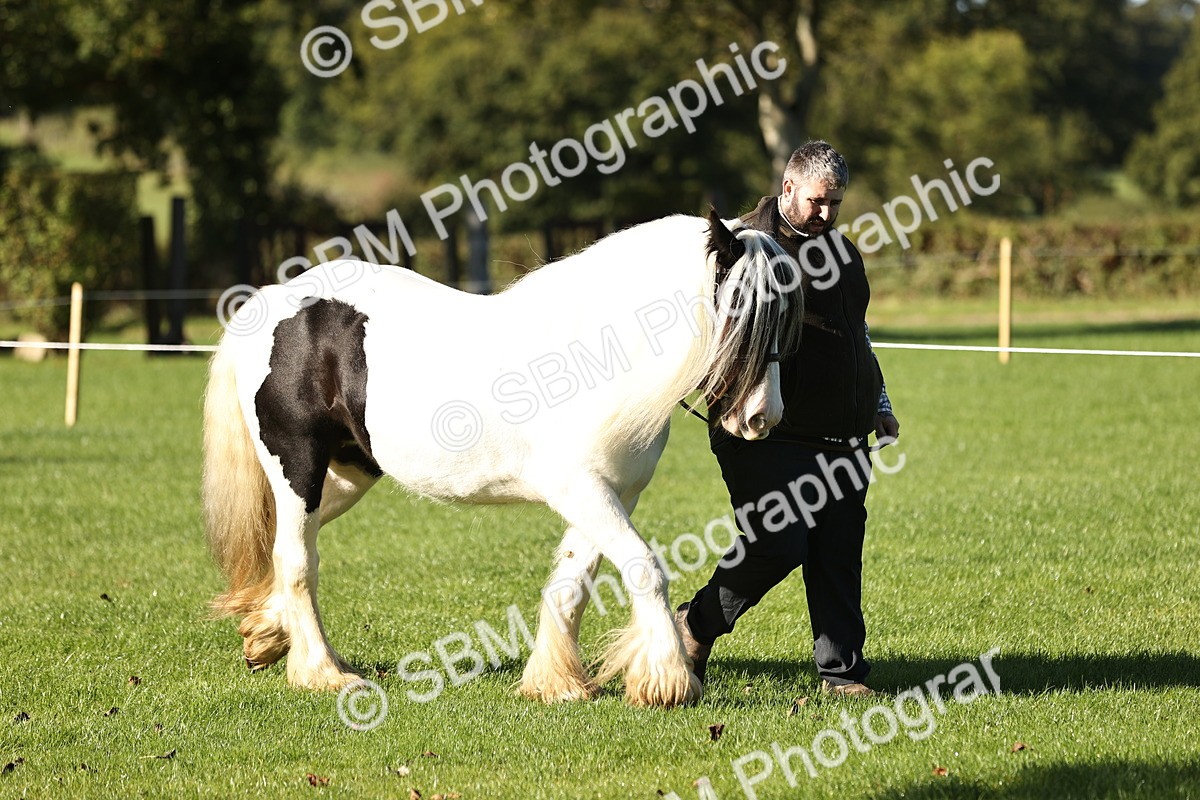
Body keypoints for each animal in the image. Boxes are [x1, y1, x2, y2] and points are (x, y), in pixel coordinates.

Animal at [202, 208, 802, 708]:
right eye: (741, 311)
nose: (762, 419)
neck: (594, 359)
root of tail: (274, 301)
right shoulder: (581, 489)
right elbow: (644, 568)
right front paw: (667, 682)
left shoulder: (612, 494)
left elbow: (571, 583)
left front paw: (557, 684)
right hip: (297, 468)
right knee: (296, 560)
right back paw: (323, 673)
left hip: (347, 472)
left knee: (290, 543)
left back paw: (266, 634)